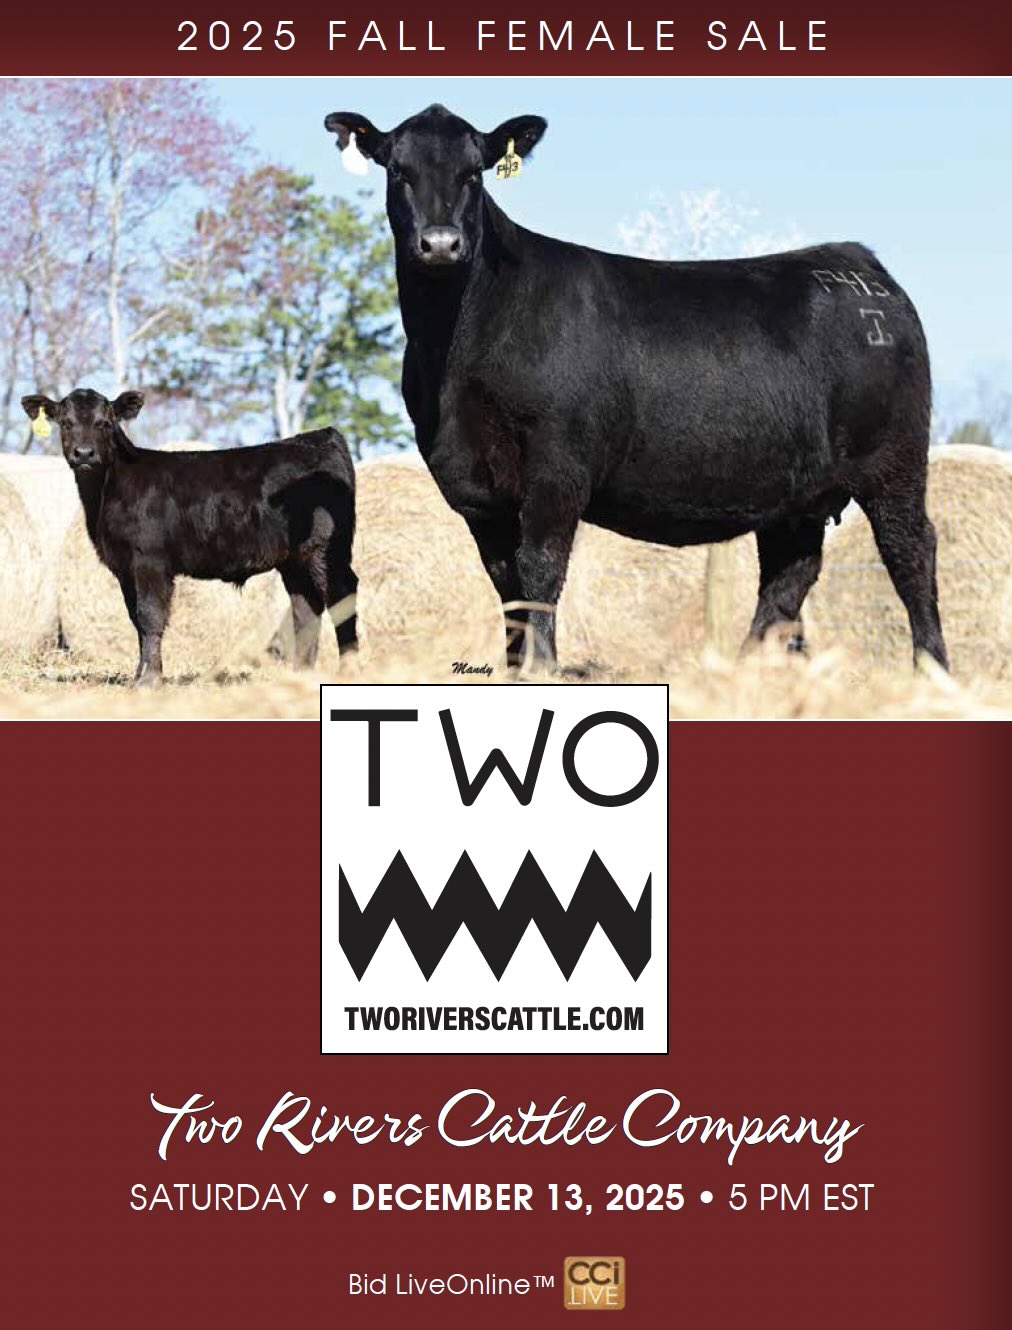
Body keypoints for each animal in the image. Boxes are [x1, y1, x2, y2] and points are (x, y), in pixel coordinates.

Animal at [21, 389, 358, 684]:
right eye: (66, 423)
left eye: (104, 423)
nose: (84, 454)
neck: (105, 493)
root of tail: (319, 437)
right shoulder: (123, 566)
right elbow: (136, 620)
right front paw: (138, 676)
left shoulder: (150, 560)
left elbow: (151, 616)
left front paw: (150, 680)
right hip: (294, 560)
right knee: (306, 609)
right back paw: (301, 675)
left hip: (326, 548)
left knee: (342, 595)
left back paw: (349, 672)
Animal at [324, 103, 947, 672]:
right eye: (397, 170)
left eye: (474, 172)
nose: (440, 243)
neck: (455, 354)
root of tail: (857, 265)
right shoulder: (471, 483)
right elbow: (507, 585)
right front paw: (514, 669)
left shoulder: (559, 463)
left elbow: (539, 569)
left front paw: (542, 669)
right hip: (796, 491)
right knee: (788, 575)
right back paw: (740, 675)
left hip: (893, 460)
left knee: (911, 550)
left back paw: (931, 670)